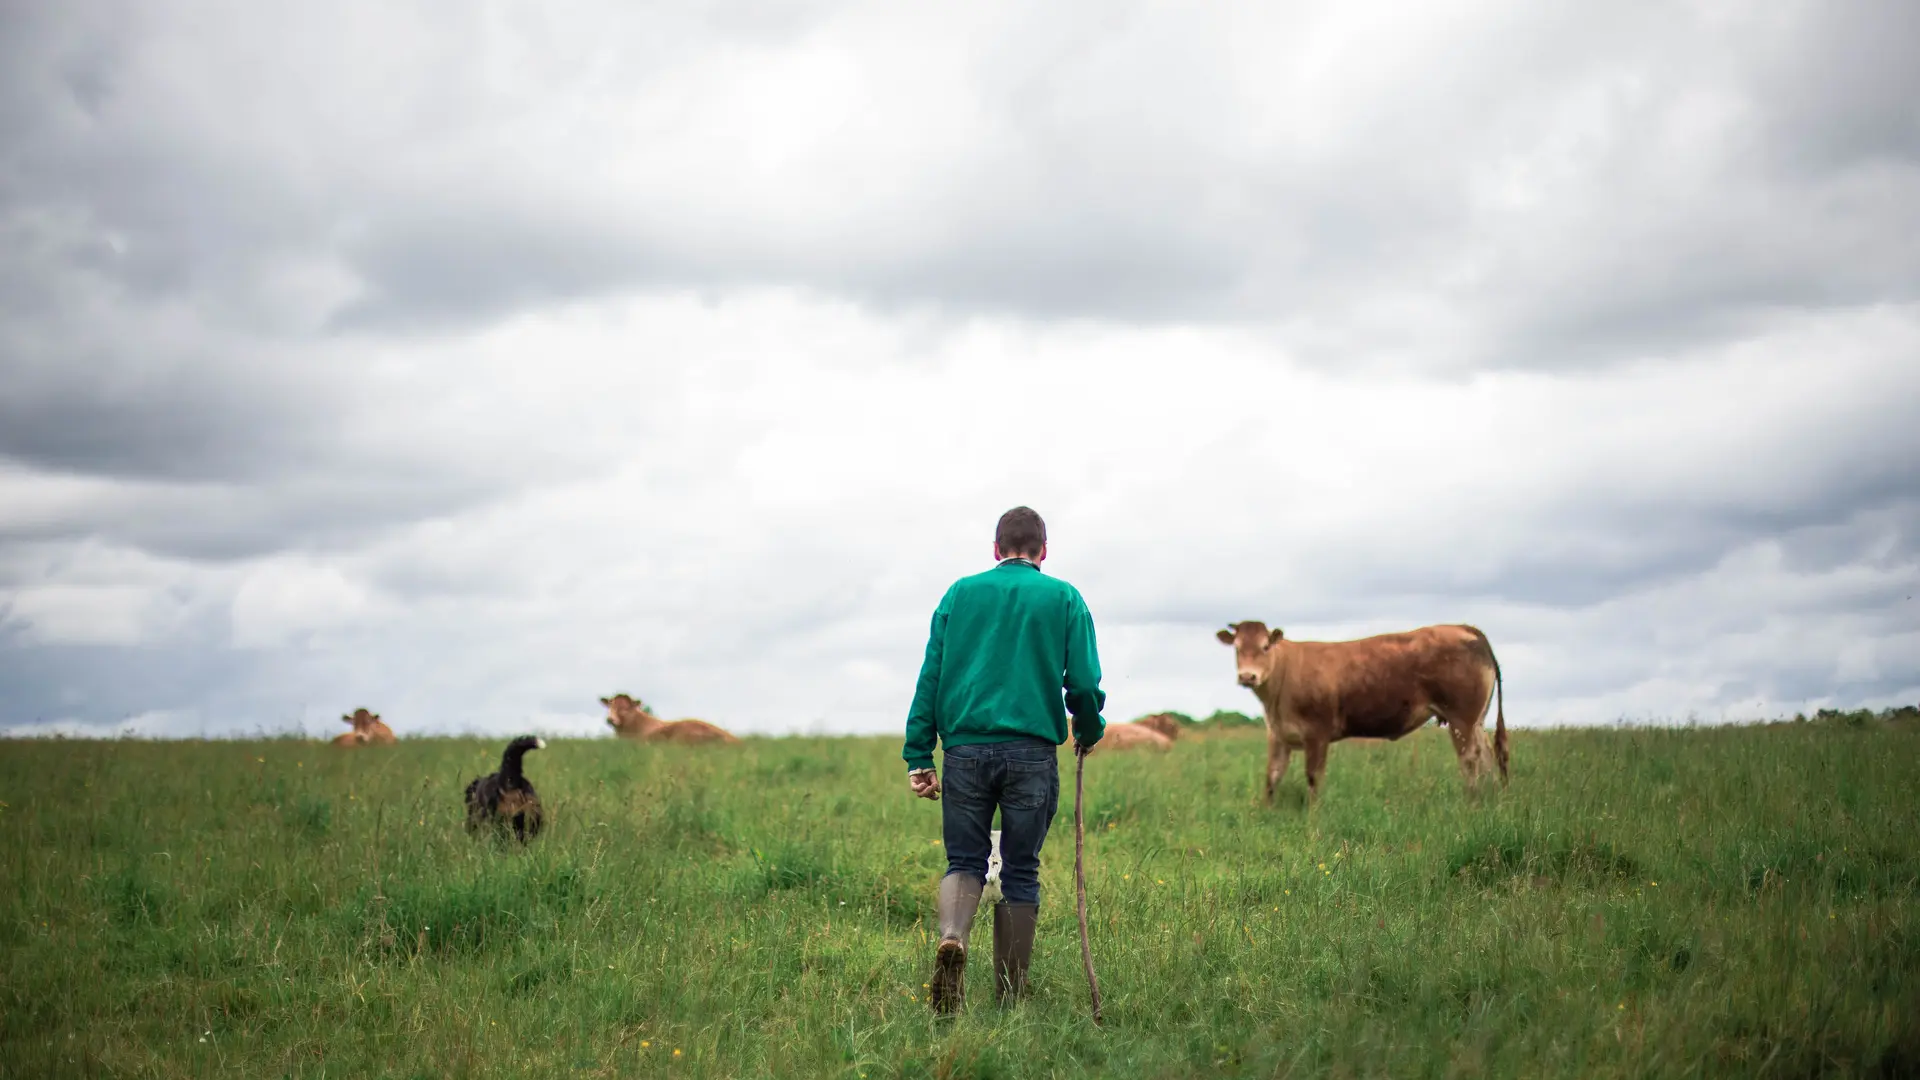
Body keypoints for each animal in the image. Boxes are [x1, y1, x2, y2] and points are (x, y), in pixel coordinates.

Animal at [1213, 618, 1512, 795]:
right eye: (1237, 648)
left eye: (1265, 646)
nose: (1247, 676)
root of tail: (1465, 628)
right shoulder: (1278, 735)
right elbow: (1272, 778)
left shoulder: (1316, 733)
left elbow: (1313, 778)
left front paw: (1313, 819)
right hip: (1476, 721)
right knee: (1487, 756)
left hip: (1462, 719)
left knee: (1470, 759)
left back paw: (1473, 800)